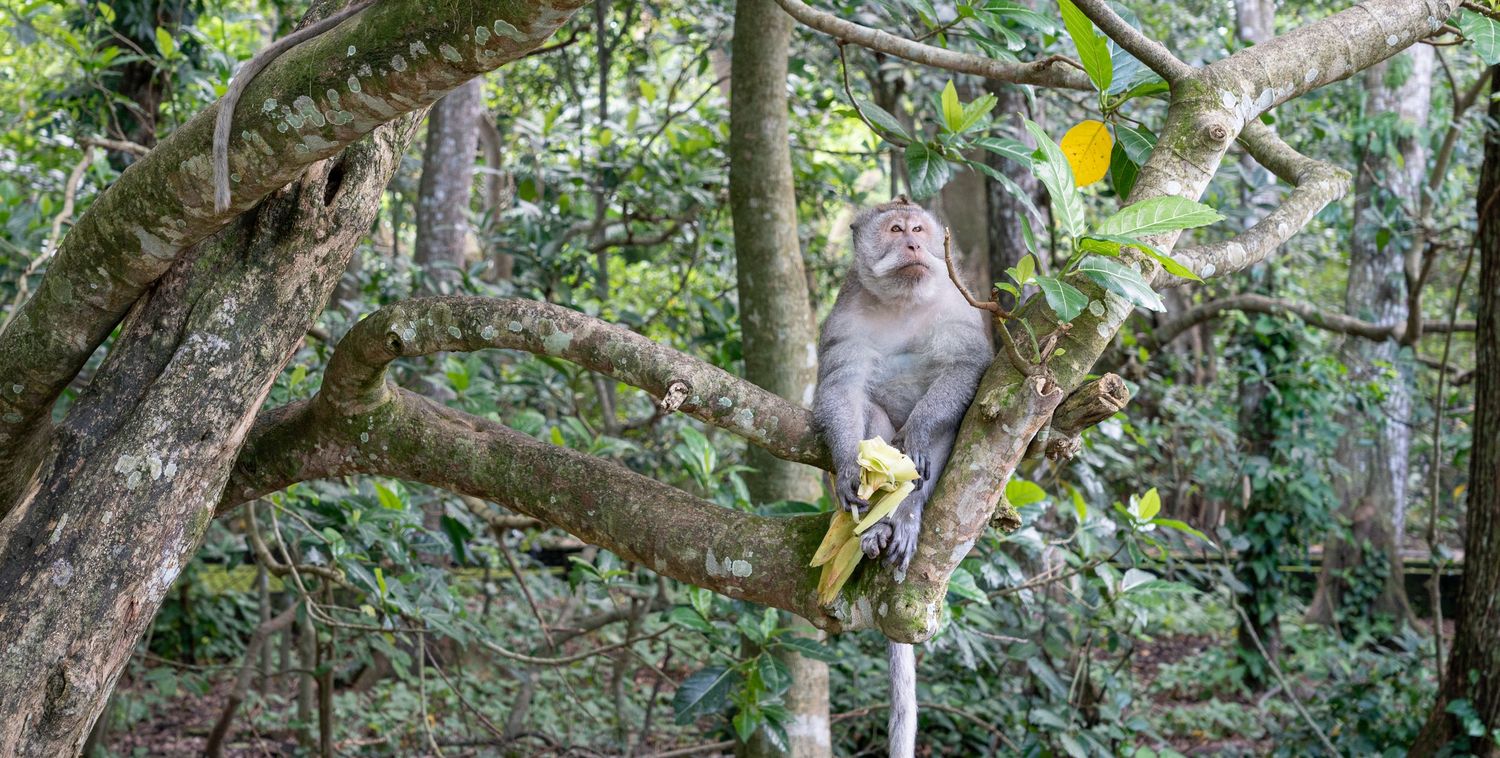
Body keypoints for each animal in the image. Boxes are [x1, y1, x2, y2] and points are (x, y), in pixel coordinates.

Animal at [813, 196, 992, 757]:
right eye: (895, 230)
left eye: (919, 229)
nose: (914, 244)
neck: (904, 302)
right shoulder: (844, 315)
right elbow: (841, 386)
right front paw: (850, 467)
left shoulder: (960, 305)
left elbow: (967, 366)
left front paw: (917, 434)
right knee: (870, 416)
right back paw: (877, 524)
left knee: (943, 434)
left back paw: (908, 512)